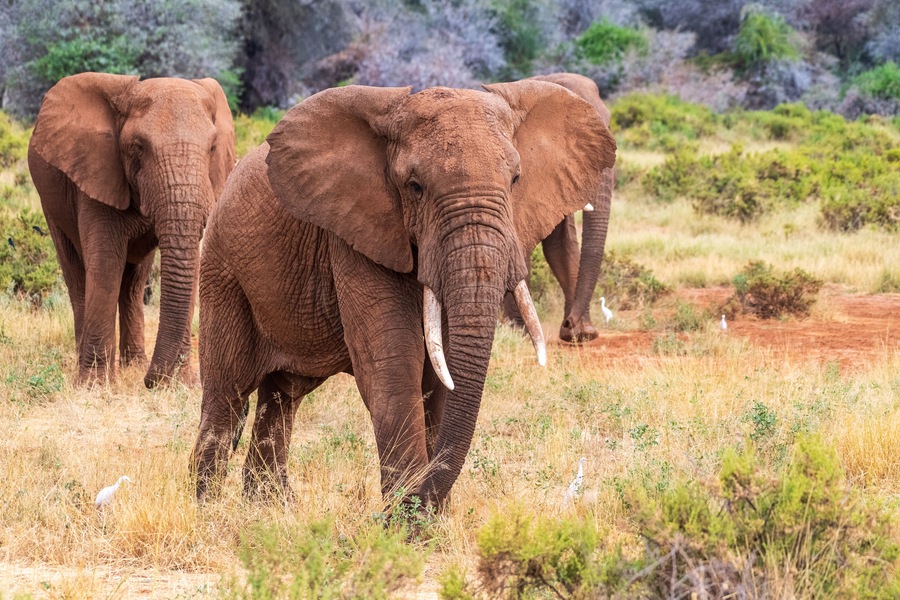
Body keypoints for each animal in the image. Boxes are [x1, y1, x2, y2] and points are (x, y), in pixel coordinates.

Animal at [28, 73, 236, 387]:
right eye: (138, 146)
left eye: (212, 148)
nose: (151, 383)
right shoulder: (96, 173)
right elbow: (105, 265)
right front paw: (94, 387)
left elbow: (192, 265)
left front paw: (182, 384)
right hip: (50, 201)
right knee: (76, 273)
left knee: (134, 282)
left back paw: (134, 365)